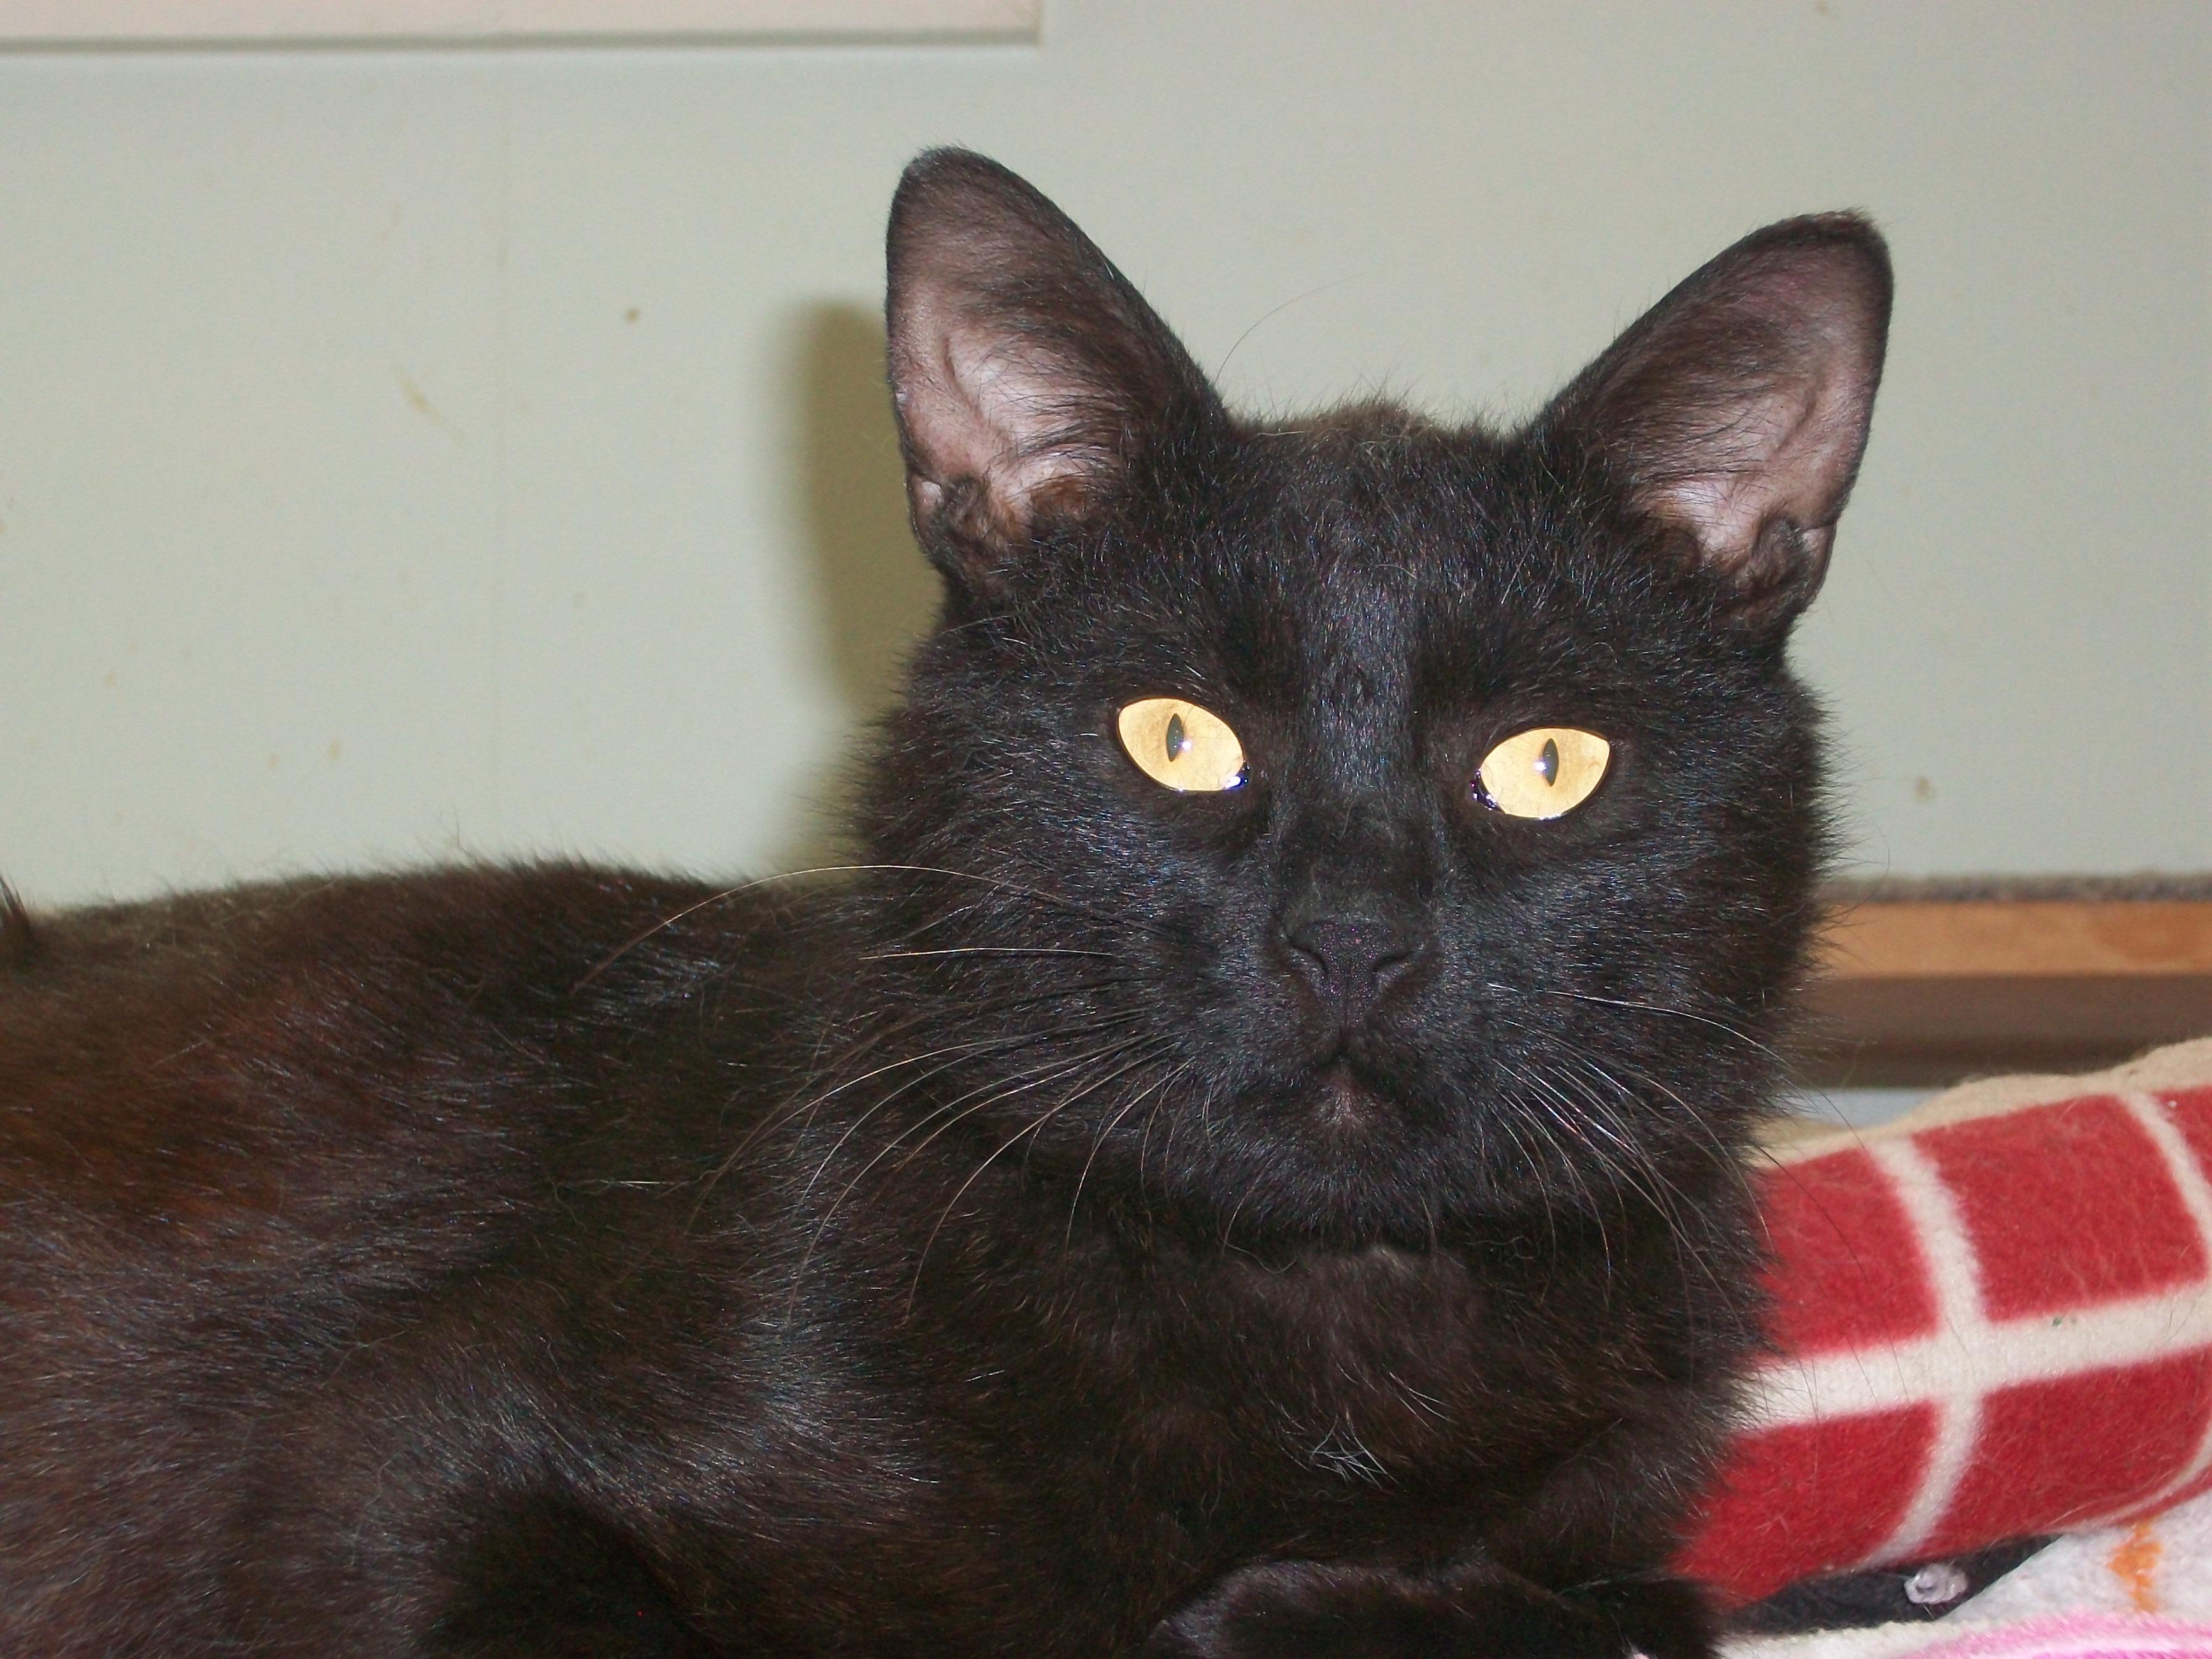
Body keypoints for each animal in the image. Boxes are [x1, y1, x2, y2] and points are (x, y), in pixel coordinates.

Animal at [4, 149, 1885, 1655]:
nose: (1351, 939)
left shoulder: (1626, 1527)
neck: (1321, 1327)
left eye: (1548, 765)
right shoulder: (384, 1466)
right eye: (1177, 738)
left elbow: (1621, 1607)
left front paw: (1303, 1604)